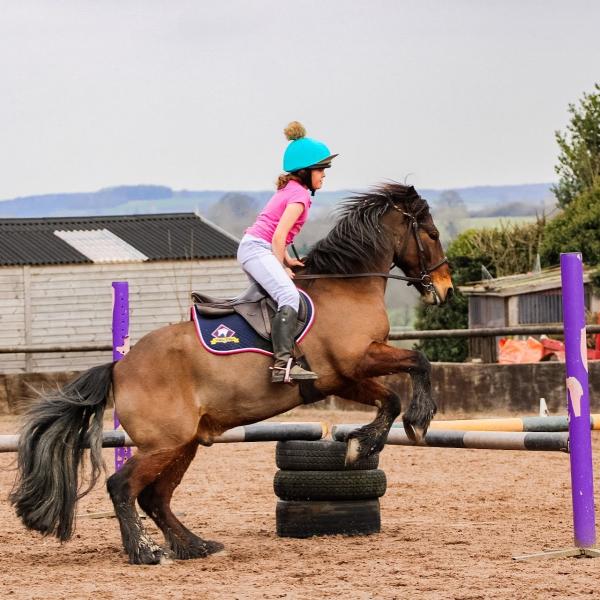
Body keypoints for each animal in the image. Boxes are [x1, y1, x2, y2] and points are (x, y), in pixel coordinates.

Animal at [9, 183, 452, 564]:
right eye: (431, 233)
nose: (445, 290)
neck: (347, 287)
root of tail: (120, 365)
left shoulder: (343, 379)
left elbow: (390, 398)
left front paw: (363, 443)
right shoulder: (357, 362)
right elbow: (417, 363)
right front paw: (415, 422)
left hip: (183, 443)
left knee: (155, 498)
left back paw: (195, 545)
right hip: (163, 443)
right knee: (123, 487)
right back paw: (146, 552)